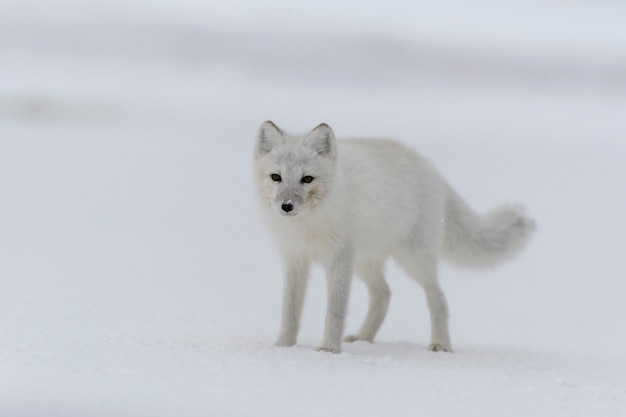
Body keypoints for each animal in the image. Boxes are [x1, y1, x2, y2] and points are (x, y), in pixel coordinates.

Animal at [251, 119, 532, 352]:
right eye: (276, 177)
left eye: (307, 179)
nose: (287, 206)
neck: (309, 225)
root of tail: (432, 169)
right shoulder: (295, 259)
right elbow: (289, 310)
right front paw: (284, 347)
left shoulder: (339, 260)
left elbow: (335, 311)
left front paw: (328, 349)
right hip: (365, 263)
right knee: (384, 295)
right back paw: (364, 338)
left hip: (413, 260)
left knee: (439, 300)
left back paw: (440, 345)